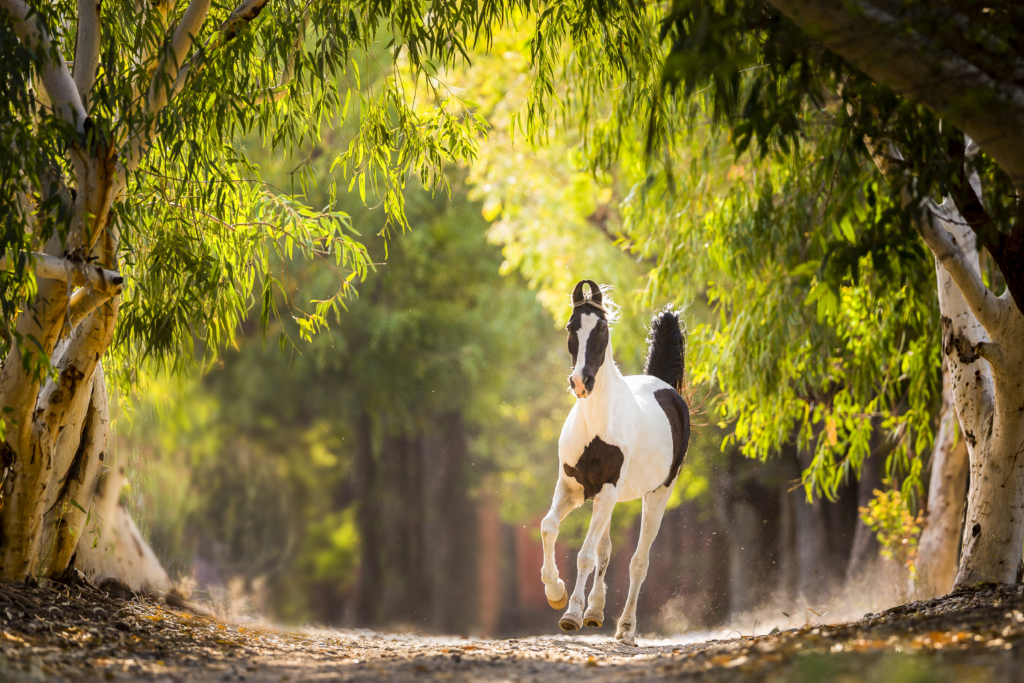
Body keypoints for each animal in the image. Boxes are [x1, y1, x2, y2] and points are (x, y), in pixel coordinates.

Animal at [540, 278, 692, 647]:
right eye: (571, 327)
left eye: (603, 328)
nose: (581, 382)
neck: (597, 424)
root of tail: (666, 387)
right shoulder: (573, 487)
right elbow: (549, 527)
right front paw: (556, 593)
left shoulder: (606, 491)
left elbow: (585, 555)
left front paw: (570, 615)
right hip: (604, 499)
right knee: (606, 550)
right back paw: (595, 612)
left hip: (657, 495)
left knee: (638, 561)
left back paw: (625, 629)